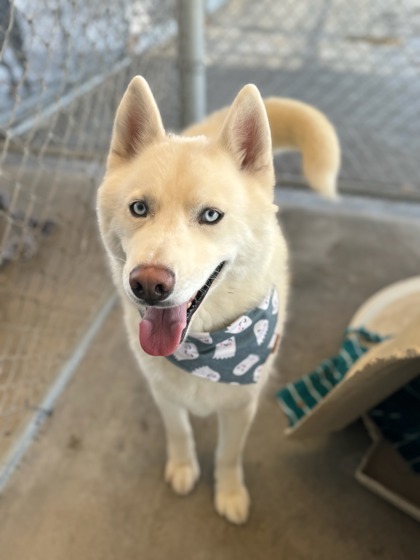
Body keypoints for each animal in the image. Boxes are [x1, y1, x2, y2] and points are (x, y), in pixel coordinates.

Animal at [97, 75, 340, 524]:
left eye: (210, 216)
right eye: (139, 208)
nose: (148, 284)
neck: (208, 347)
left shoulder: (241, 405)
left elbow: (229, 454)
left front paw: (228, 492)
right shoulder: (164, 394)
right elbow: (179, 431)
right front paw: (183, 466)